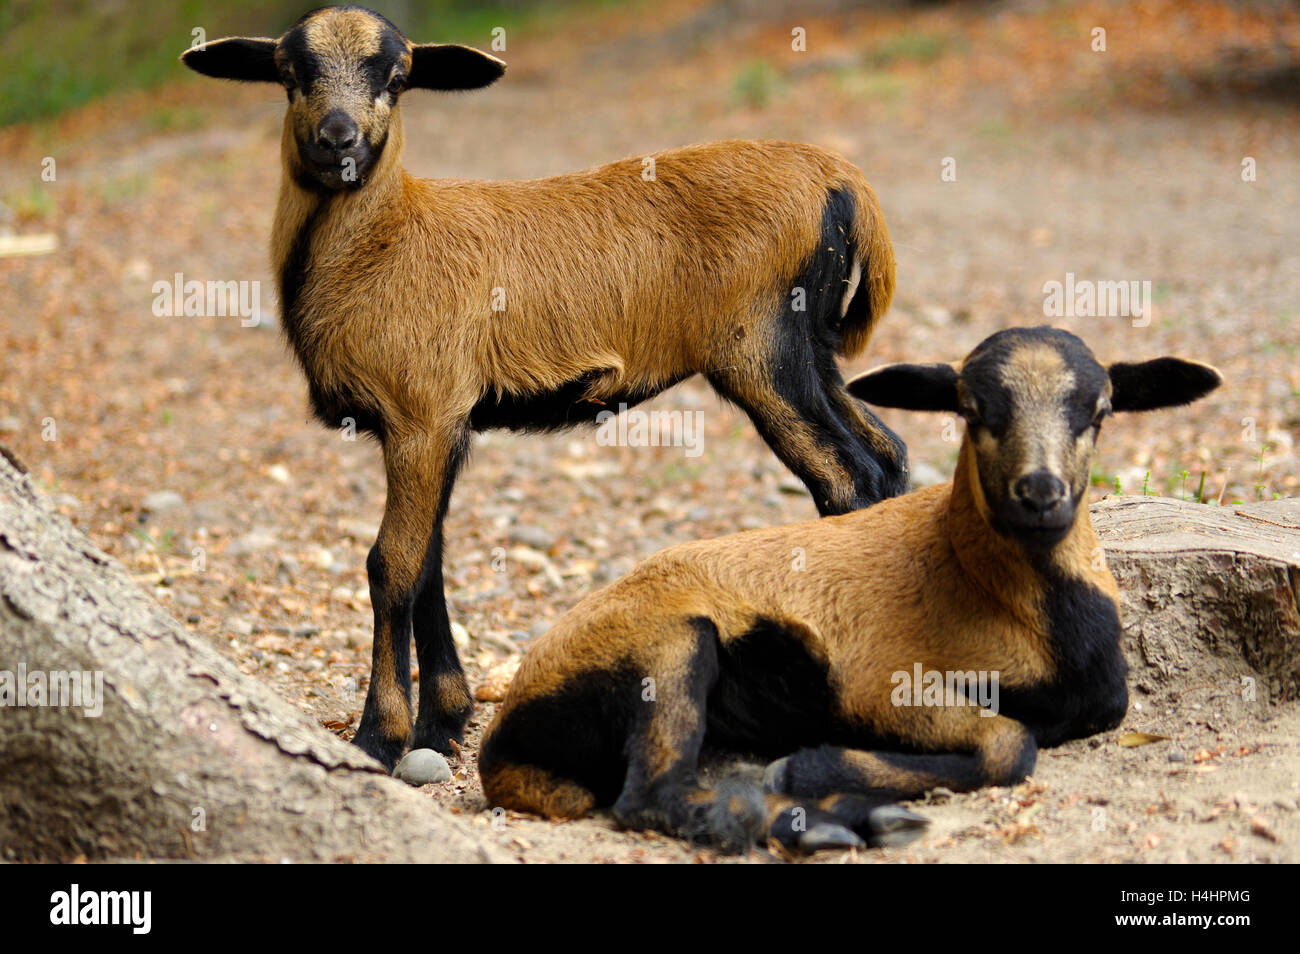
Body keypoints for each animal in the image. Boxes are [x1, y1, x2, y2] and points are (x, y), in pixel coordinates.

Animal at [180, 6, 908, 770]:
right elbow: (431, 558)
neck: (381, 242)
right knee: (886, 453)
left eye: (397, 78)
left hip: (761, 348)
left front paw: (379, 736)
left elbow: (393, 565)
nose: (337, 138)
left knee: (846, 478)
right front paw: (443, 722)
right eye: (290, 74)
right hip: (813, 349)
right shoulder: (441, 422)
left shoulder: (421, 414)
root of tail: (839, 179)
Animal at [478, 326, 1222, 852]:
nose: (1040, 493)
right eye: (971, 409)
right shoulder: (881, 685)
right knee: (649, 796)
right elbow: (1011, 745)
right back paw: (808, 820)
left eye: (1099, 411)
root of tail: (501, 750)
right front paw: (808, 771)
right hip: (673, 642)